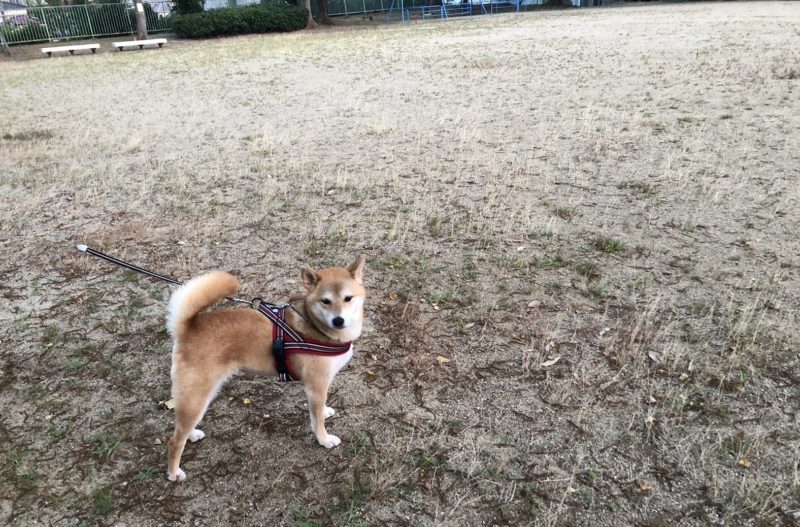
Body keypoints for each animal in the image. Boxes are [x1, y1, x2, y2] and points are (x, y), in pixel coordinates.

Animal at [165, 256, 366, 482]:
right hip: (197, 396)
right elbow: (317, 421)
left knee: (181, 426)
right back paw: (174, 473)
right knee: (174, 441)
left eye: (348, 298)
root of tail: (187, 328)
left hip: (199, 397)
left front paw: (325, 411)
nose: (338, 320)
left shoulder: (318, 387)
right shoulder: (316, 385)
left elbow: (319, 410)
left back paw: (192, 434)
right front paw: (324, 439)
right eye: (326, 301)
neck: (315, 326)